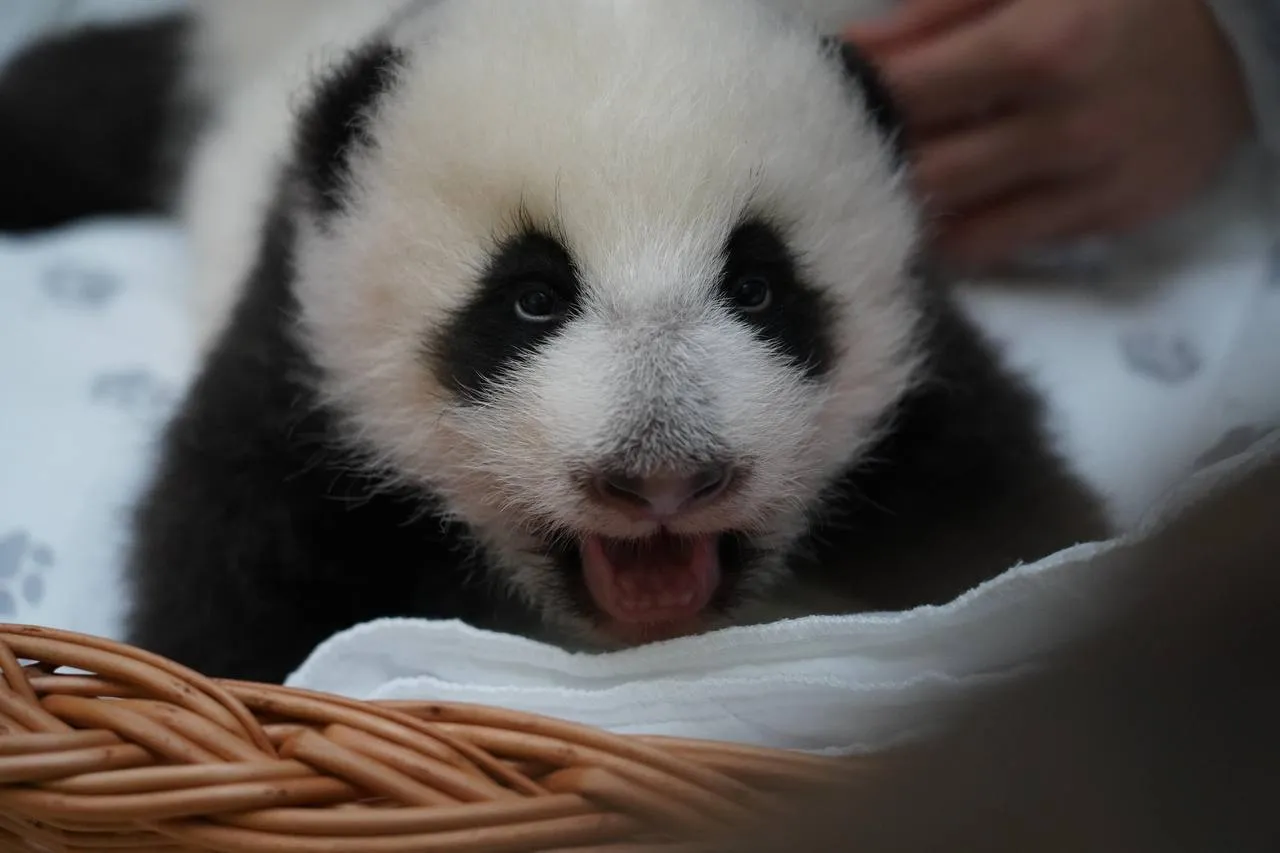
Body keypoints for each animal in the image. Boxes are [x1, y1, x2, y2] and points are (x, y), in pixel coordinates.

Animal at [0, 0, 1109, 684]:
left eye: (758, 286)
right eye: (532, 297)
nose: (662, 479)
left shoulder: (918, 392)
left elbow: (1007, 509)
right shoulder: (303, 361)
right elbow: (233, 577)